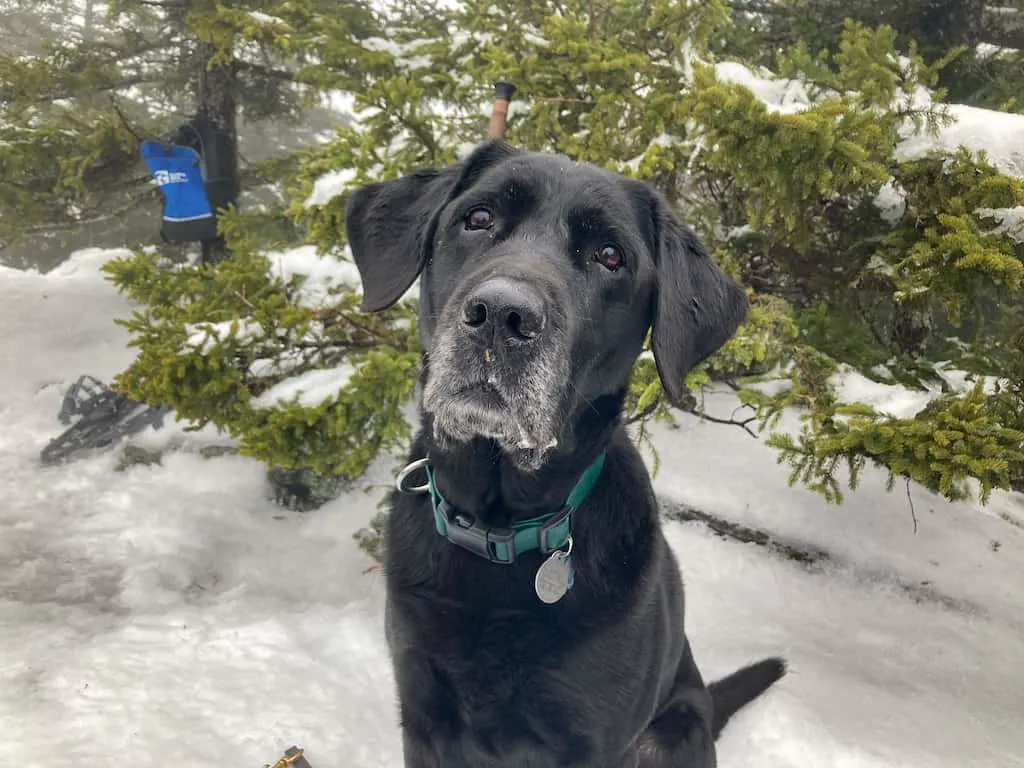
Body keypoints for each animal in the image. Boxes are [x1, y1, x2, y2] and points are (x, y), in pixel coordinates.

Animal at [344, 140, 782, 768]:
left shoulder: (594, 742)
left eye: (609, 255)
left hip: (667, 733)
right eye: (478, 218)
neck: (501, 530)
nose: (502, 316)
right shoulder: (423, 719)